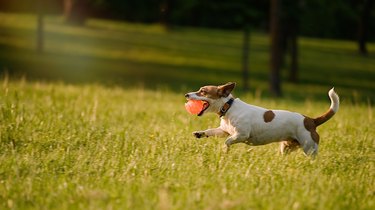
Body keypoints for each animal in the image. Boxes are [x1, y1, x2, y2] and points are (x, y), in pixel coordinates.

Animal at [185, 82, 340, 156]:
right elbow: (211, 131)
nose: (186, 94)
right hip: (286, 147)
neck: (228, 107)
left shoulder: (241, 135)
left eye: (203, 91)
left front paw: (225, 151)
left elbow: (227, 141)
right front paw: (199, 133)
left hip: (309, 147)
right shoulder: (224, 130)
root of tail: (311, 120)